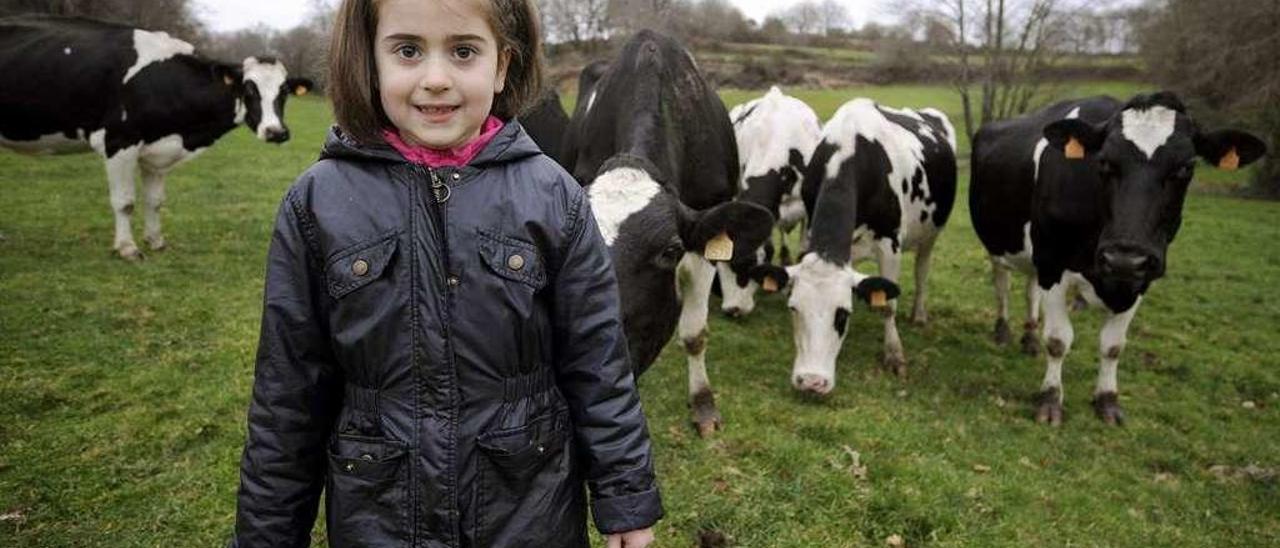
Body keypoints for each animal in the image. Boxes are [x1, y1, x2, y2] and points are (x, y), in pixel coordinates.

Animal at [0, 14, 309, 258]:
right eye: (248, 89)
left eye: (284, 91)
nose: (276, 132)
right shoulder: (118, 141)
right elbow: (124, 202)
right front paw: (127, 248)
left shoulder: (158, 151)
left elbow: (155, 201)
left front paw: (156, 241)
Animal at [752, 98, 957, 394]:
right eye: (794, 309)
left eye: (842, 314)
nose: (811, 381)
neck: (850, 151)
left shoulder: (890, 244)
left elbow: (889, 305)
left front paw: (894, 355)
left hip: (931, 233)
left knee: (922, 270)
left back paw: (918, 315)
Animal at [972, 90, 1264, 425]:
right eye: (1104, 162)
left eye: (1186, 167)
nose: (1124, 258)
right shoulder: (1053, 263)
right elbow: (1058, 340)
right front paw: (1050, 400)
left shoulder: (1141, 277)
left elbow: (1113, 346)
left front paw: (1107, 400)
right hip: (1002, 245)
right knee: (1003, 285)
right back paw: (1003, 331)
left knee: (1031, 290)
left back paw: (1030, 339)